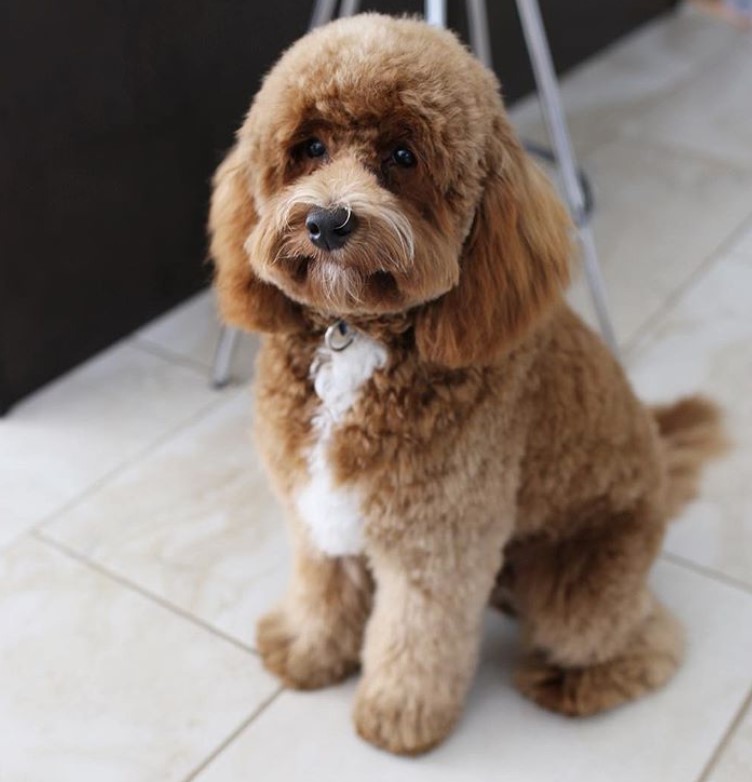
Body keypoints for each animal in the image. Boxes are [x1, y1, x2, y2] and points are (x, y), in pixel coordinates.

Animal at [209, 13, 724, 760]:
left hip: (580, 582)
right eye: (310, 146)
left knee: (645, 638)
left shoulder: (439, 539)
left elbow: (416, 633)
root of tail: (658, 462)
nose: (328, 222)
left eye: (403, 156)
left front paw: (399, 715)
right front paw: (307, 651)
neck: (358, 336)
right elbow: (321, 584)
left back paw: (572, 682)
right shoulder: (312, 505)